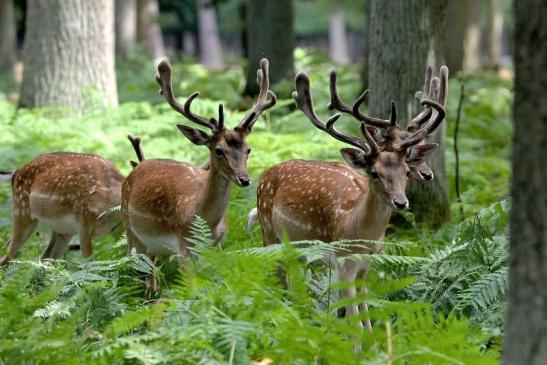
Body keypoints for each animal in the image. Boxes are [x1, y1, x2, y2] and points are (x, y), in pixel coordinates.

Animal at [123, 58, 278, 294]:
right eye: (219, 150)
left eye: (248, 149)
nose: (244, 179)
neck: (206, 219)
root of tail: (136, 168)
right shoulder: (183, 245)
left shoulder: (216, 245)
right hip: (131, 232)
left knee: (151, 275)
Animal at [255, 68, 448, 328]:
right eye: (374, 173)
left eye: (406, 171)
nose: (401, 202)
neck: (357, 226)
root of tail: (265, 173)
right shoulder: (342, 259)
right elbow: (354, 319)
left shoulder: (366, 263)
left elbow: (363, 311)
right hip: (268, 229)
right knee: (277, 275)